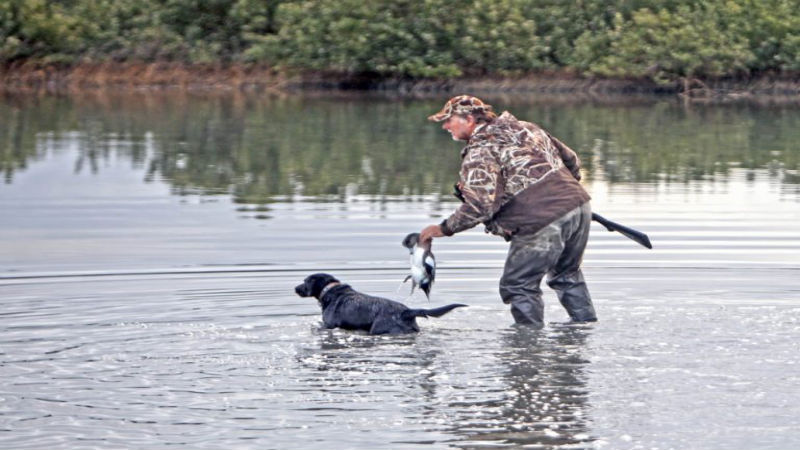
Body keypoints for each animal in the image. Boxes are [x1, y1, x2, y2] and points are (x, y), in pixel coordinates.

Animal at [296, 272, 466, 336]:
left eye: (305, 281)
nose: (295, 288)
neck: (330, 290)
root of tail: (407, 311)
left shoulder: (329, 325)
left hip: (378, 329)